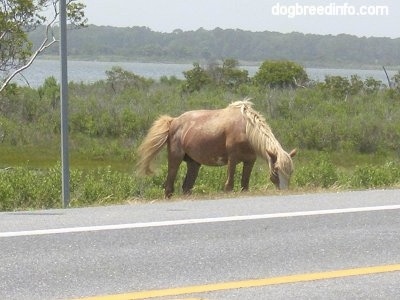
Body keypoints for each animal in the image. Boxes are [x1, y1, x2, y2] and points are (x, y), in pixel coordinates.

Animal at [138, 99, 296, 198]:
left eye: (291, 172)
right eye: (275, 171)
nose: (284, 191)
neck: (246, 129)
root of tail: (173, 121)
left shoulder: (250, 161)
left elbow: (245, 185)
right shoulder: (233, 159)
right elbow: (229, 185)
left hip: (194, 163)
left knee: (187, 186)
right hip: (175, 159)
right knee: (169, 186)